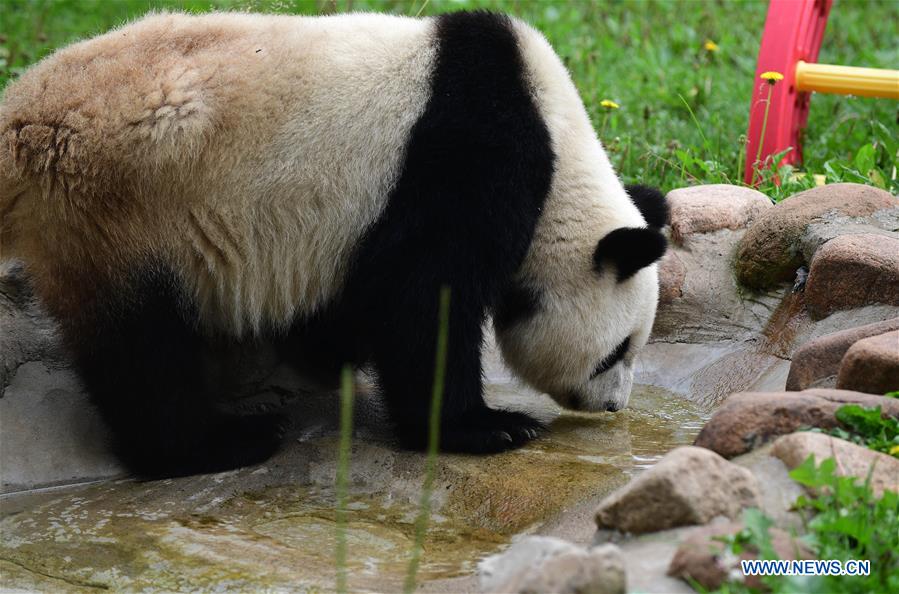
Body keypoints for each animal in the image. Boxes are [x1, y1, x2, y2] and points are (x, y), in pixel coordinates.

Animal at [0, 10, 668, 476]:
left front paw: (319, 352)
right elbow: (423, 302)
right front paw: (489, 428)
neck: (559, 164)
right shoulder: (467, 163)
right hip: (118, 207)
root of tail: (21, 121)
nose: (613, 406)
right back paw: (220, 444)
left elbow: (362, 300)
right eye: (617, 352)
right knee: (144, 350)